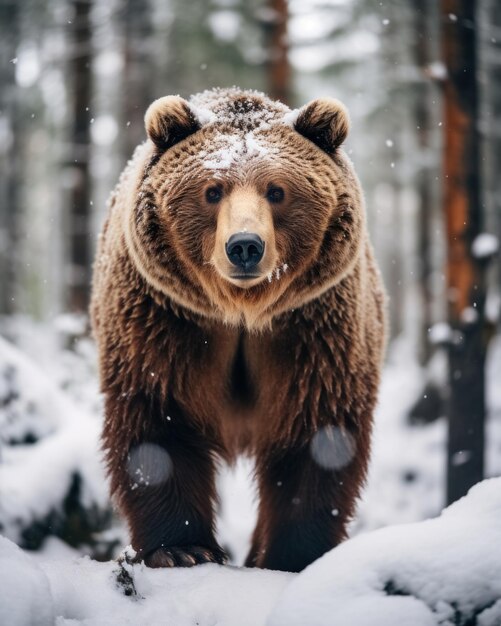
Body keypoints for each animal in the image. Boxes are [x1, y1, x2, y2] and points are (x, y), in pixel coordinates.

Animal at [90, 86, 386, 572]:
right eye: (212, 191)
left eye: (277, 190)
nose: (245, 246)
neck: (243, 312)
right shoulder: (166, 320)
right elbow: (160, 423)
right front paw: (182, 548)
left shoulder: (312, 326)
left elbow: (316, 432)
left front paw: (292, 553)